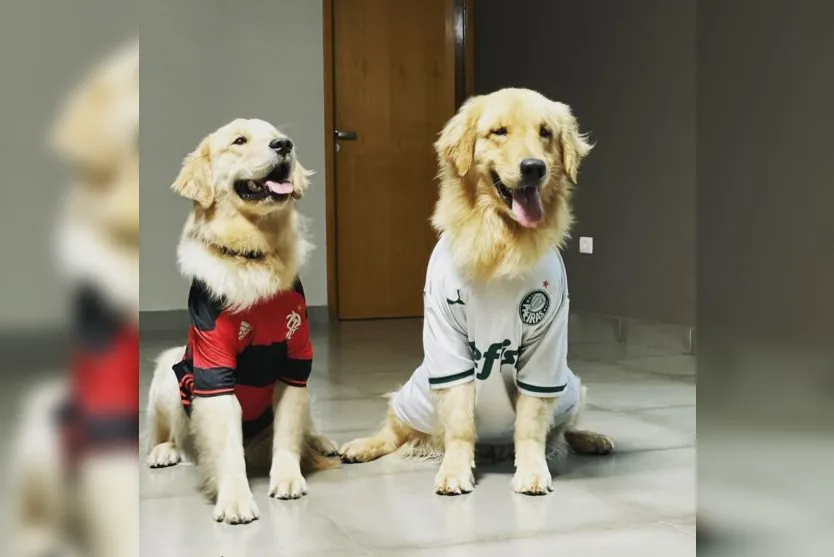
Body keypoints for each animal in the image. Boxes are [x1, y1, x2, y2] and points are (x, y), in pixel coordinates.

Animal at [146, 115, 338, 524]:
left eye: (276, 136)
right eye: (239, 141)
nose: (284, 145)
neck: (253, 256)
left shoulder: (295, 362)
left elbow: (287, 433)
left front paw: (287, 478)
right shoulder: (213, 369)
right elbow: (227, 446)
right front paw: (235, 498)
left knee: (305, 427)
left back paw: (322, 441)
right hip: (170, 369)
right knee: (171, 435)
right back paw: (164, 451)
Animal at [342, 88, 616, 496]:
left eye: (545, 132)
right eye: (498, 132)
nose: (534, 167)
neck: (501, 244)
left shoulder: (547, 347)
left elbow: (531, 425)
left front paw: (532, 471)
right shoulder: (447, 341)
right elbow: (459, 424)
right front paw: (455, 471)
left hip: (570, 387)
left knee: (562, 430)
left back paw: (591, 438)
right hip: (414, 394)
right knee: (394, 430)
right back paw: (361, 446)